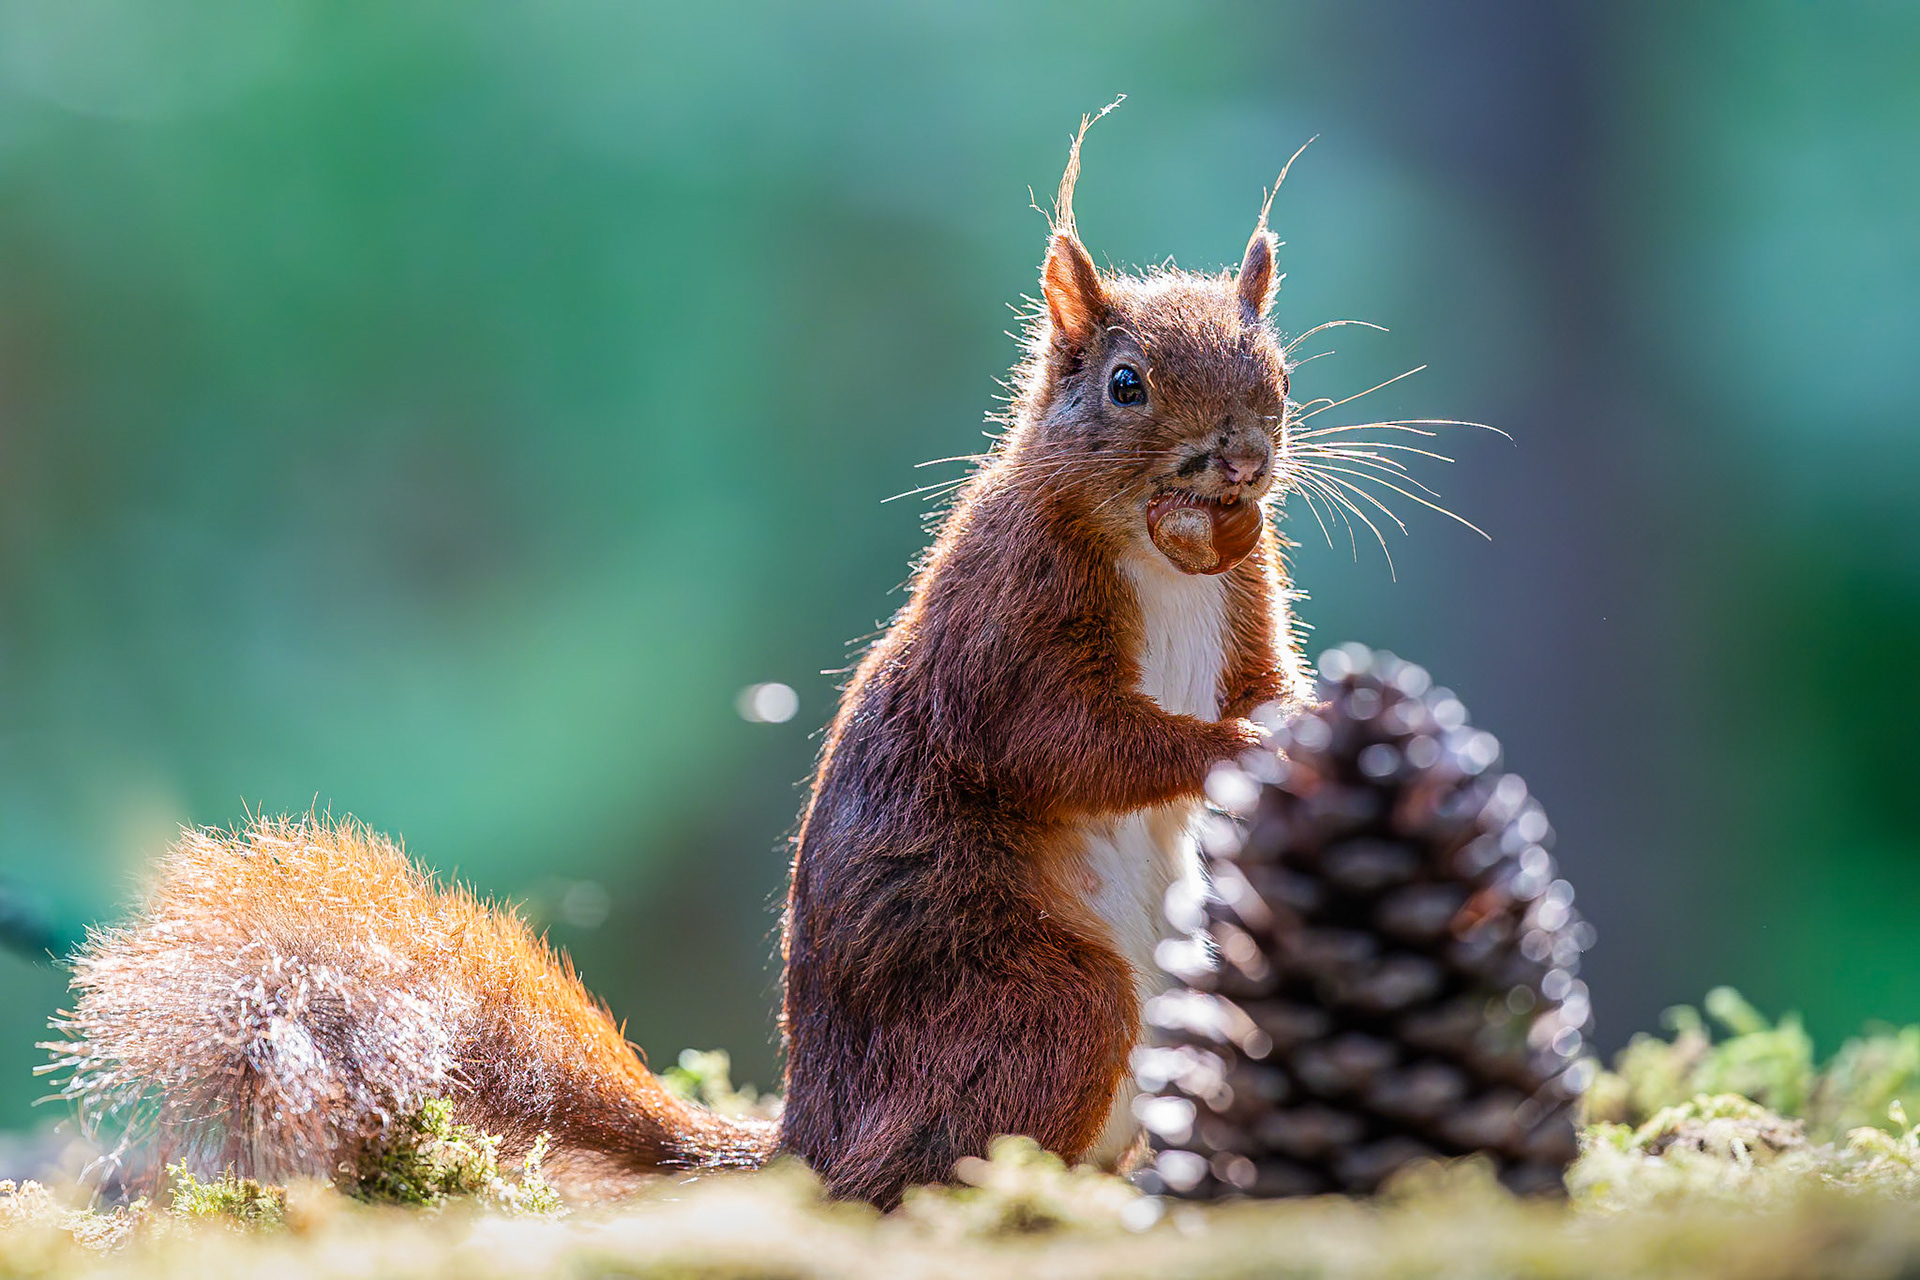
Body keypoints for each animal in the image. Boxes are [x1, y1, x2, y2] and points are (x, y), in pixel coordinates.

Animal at [43, 116, 1314, 1209]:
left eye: (1282, 373)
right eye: (1126, 383)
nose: (1241, 458)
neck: (1165, 554)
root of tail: (810, 1141)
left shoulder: (1248, 597)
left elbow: (1259, 678)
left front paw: (1297, 719)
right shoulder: (1007, 623)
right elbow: (1061, 738)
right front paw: (1230, 745)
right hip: (1038, 998)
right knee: (917, 1173)